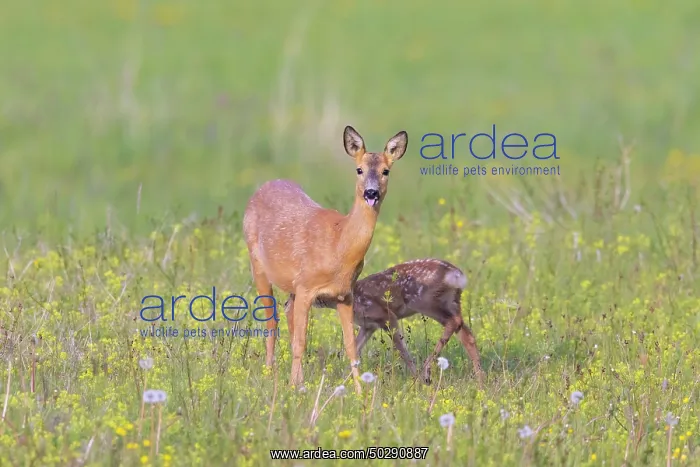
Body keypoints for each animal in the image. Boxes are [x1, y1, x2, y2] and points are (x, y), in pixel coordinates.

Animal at [242, 126, 408, 394]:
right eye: (359, 169)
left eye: (386, 171)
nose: (371, 193)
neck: (338, 246)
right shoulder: (306, 286)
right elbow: (301, 341)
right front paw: (294, 388)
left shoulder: (344, 294)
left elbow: (351, 346)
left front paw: (359, 392)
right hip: (257, 264)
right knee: (271, 320)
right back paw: (271, 374)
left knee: (286, 312)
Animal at [289, 258, 485, 387]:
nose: (290, 299)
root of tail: (455, 275)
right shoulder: (368, 326)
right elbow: (354, 349)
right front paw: (344, 380)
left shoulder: (386, 316)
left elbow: (402, 349)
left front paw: (416, 380)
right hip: (452, 301)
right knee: (466, 332)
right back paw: (480, 380)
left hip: (425, 301)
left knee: (454, 322)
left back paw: (427, 372)